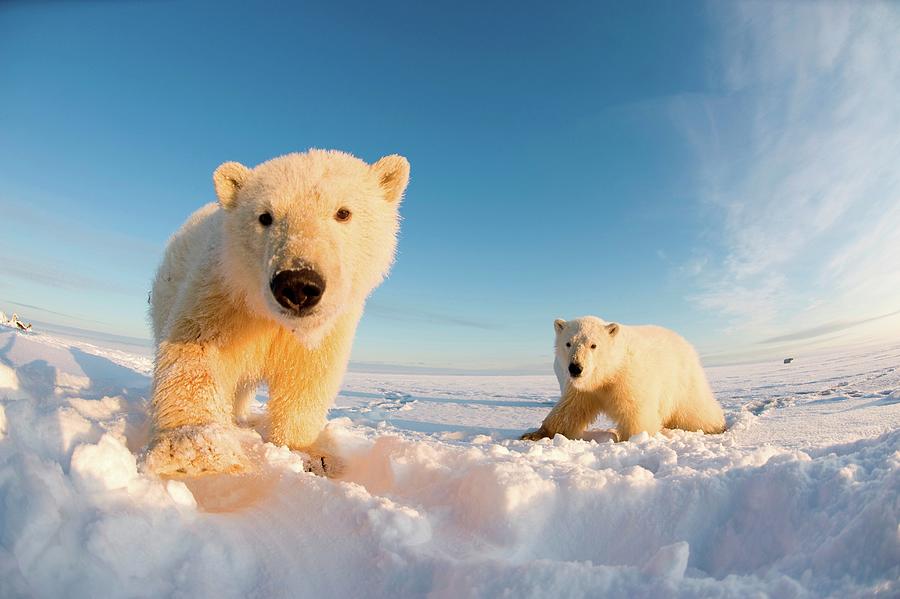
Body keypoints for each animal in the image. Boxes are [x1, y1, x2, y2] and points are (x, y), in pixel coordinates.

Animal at [145, 148, 412, 476]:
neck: (272, 319)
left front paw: (311, 456)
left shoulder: (329, 328)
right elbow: (196, 355)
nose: (298, 284)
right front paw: (195, 450)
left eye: (343, 212)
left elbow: (307, 379)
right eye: (265, 216)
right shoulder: (224, 294)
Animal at [520, 316, 724, 442]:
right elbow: (568, 410)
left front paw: (631, 439)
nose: (575, 368)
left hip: (682, 379)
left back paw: (717, 426)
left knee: (695, 410)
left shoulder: (629, 378)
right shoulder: (585, 389)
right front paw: (533, 435)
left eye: (593, 345)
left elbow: (636, 412)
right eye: (568, 343)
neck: (609, 372)